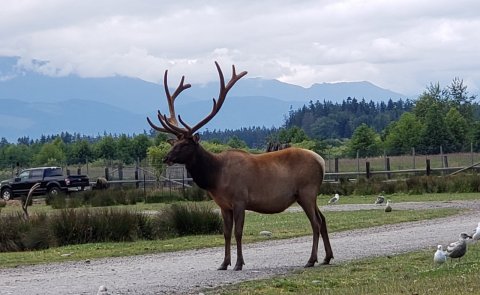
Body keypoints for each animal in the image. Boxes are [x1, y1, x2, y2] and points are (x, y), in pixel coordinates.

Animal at [146, 61, 334, 272]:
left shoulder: (239, 200)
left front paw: (238, 263)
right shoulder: (223, 205)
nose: (166, 157)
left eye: (185, 144)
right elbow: (226, 233)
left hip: (307, 191)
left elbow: (238, 232)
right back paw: (327, 257)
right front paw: (223, 263)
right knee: (323, 219)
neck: (215, 178)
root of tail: (321, 161)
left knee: (316, 223)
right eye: (174, 143)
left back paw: (311, 259)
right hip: (308, 195)